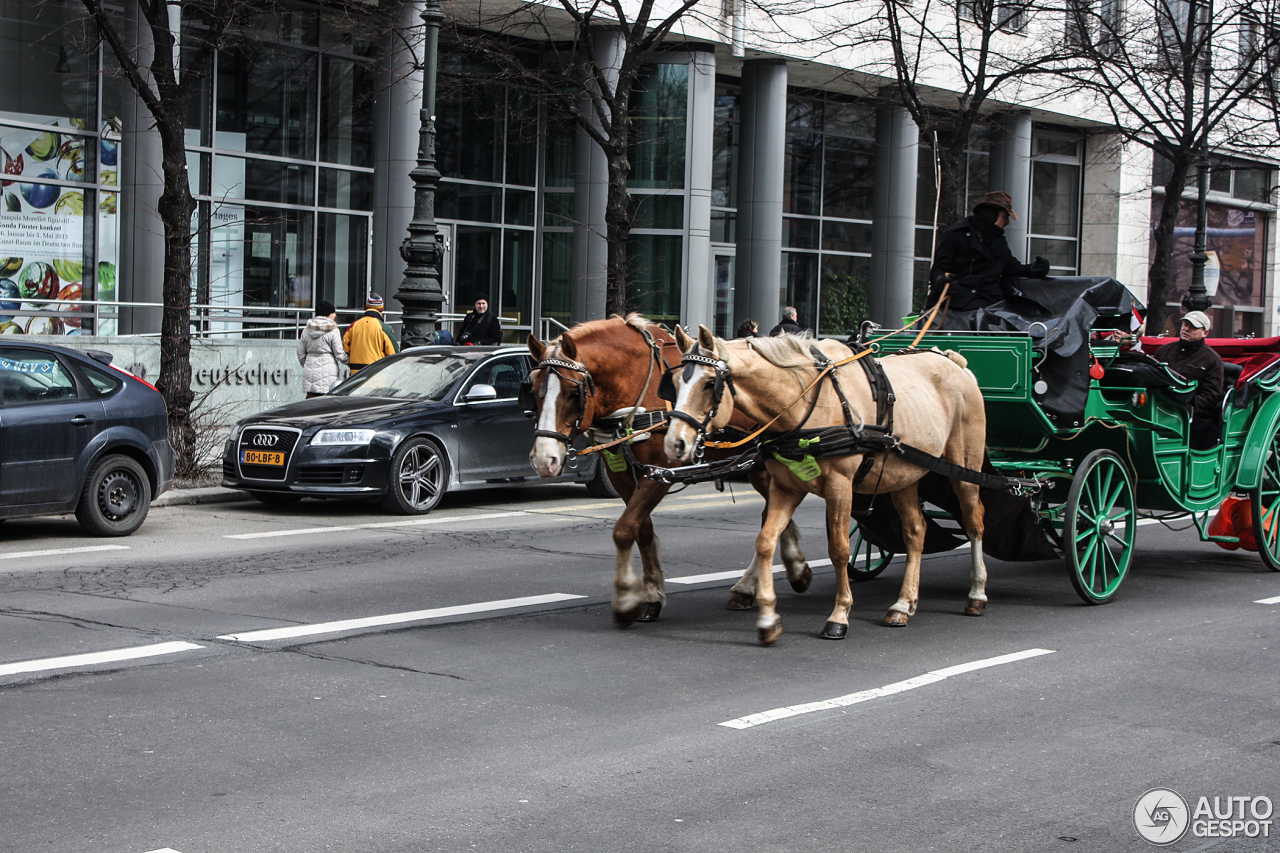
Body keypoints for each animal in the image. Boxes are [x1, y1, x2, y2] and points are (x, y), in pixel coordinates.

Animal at [527, 315, 808, 622]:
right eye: (533, 391)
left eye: (572, 393)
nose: (544, 460)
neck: (637, 387)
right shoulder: (623, 477)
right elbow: (641, 529)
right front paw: (651, 594)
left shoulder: (660, 474)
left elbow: (624, 528)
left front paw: (630, 598)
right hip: (758, 466)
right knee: (773, 512)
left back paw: (758, 581)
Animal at [665, 325, 983, 645]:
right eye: (675, 382)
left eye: (709, 383)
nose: (674, 444)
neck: (807, 404)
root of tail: (956, 362)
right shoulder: (785, 487)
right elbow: (765, 541)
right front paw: (768, 618)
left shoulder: (839, 487)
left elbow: (839, 550)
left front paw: (839, 615)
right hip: (903, 476)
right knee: (915, 532)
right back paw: (903, 604)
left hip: (964, 468)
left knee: (973, 522)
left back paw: (976, 594)